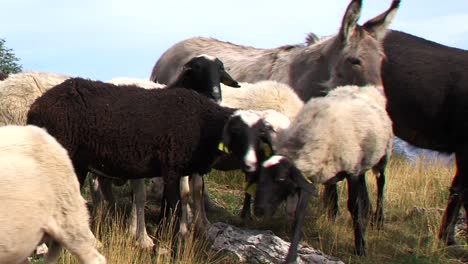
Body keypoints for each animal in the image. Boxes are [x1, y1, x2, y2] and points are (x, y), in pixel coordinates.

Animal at [254, 84, 394, 262]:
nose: (258, 210)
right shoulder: (316, 175)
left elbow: (354, 207)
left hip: (383, 154)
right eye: (259, 177)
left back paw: (378, 220)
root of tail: (362, 87)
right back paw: (363, 211)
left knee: (380, 182)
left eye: (280, 179)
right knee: (361, 185)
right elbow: (302, 210)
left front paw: (360, 247)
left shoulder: (351, 170)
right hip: (359, 161)